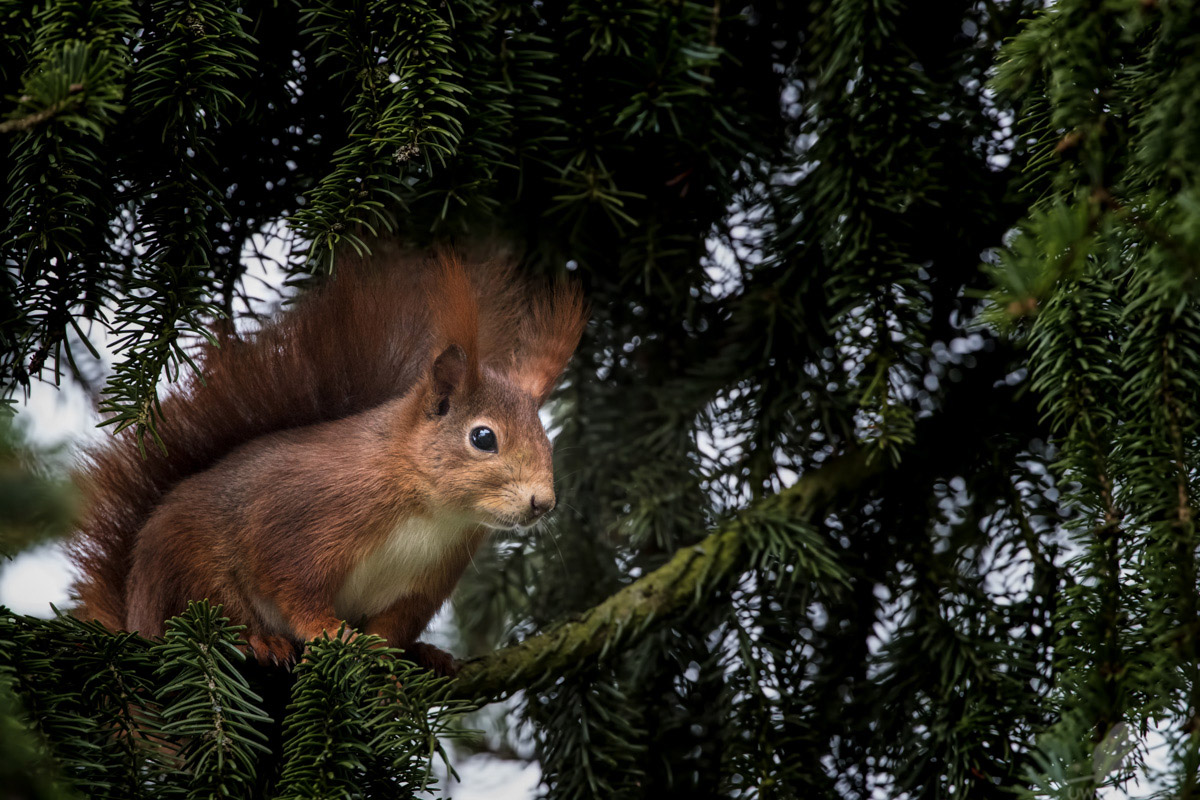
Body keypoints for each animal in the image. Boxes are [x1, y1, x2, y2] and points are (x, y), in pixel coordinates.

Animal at [68, 245, 588, 676]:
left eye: (547, 440)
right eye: (483, 438)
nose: (543, 503)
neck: (431, 512)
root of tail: (135, 612)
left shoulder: (425, 583)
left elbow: (394, 627)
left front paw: (388, 659)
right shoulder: (303, 524)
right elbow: (294, 589)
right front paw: (331, 633)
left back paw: (427, 655)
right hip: (191, 569)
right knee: (212, 615)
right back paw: (260, 640)